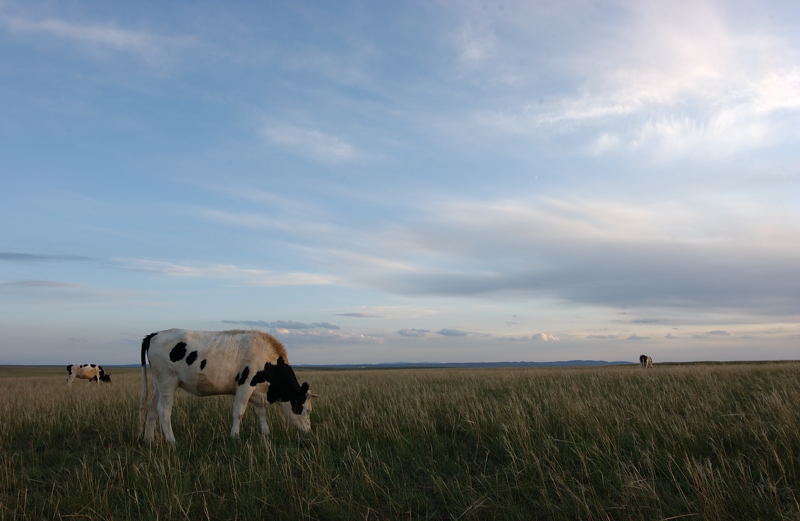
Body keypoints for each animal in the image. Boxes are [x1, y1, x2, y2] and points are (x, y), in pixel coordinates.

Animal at [139, 330, 318, 442]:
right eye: (306, 409)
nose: (308, 432)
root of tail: (154, 334)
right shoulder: (245, 385)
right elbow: (238, 412)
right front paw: (235, 437)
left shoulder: (257, 392)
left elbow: (260, 413)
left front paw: (266, 433)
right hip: (167, 382)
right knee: (163, 410)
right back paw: (171, 441)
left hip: (158, 385)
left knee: (152, 409)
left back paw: (149, 440)